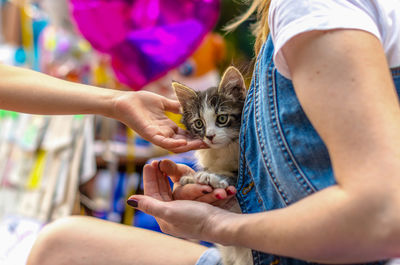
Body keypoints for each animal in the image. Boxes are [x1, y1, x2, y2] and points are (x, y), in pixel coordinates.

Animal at [172, 66, 253, 264]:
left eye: (222, 119)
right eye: (199, 123)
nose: (209, 136)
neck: (224, 148)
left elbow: (237, 176)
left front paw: (212, 177)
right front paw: (192, 178)